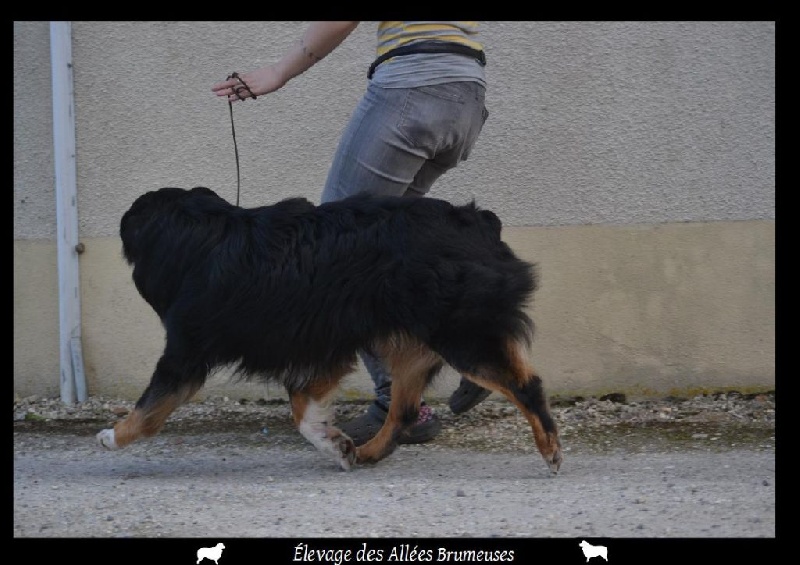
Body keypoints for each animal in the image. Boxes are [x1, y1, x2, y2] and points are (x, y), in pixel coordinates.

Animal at [97, 186, 564, 472]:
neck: (199, 234)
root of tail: (480, 221)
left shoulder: (186, 354)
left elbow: (149, 409)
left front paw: (112, 437)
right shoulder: (321, 344)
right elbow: (304, 409)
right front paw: (337, 445)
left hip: (460, 333)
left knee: (525, 384)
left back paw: (550, 450)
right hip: (412, 345)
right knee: (402, 410)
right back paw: (369, 451)